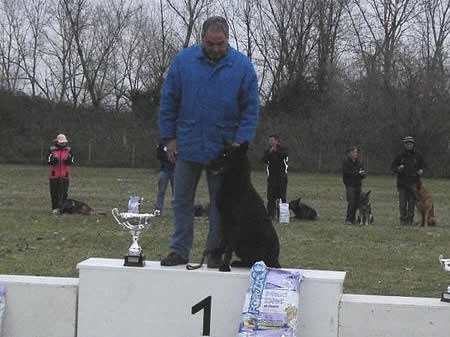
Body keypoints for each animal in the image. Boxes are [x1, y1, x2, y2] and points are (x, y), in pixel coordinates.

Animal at [208, 140, 280, 272]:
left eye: (225, 155)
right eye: (220, 152)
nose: (208, 163)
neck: (232, 187)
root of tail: (276, 260)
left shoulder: (235, 225)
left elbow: (228, 247)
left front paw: (224, 265)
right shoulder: (224, 220)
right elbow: (222, 242)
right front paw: (216, 255)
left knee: (262, 262)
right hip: (241, 247)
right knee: (250, 260)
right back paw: (239, 263)